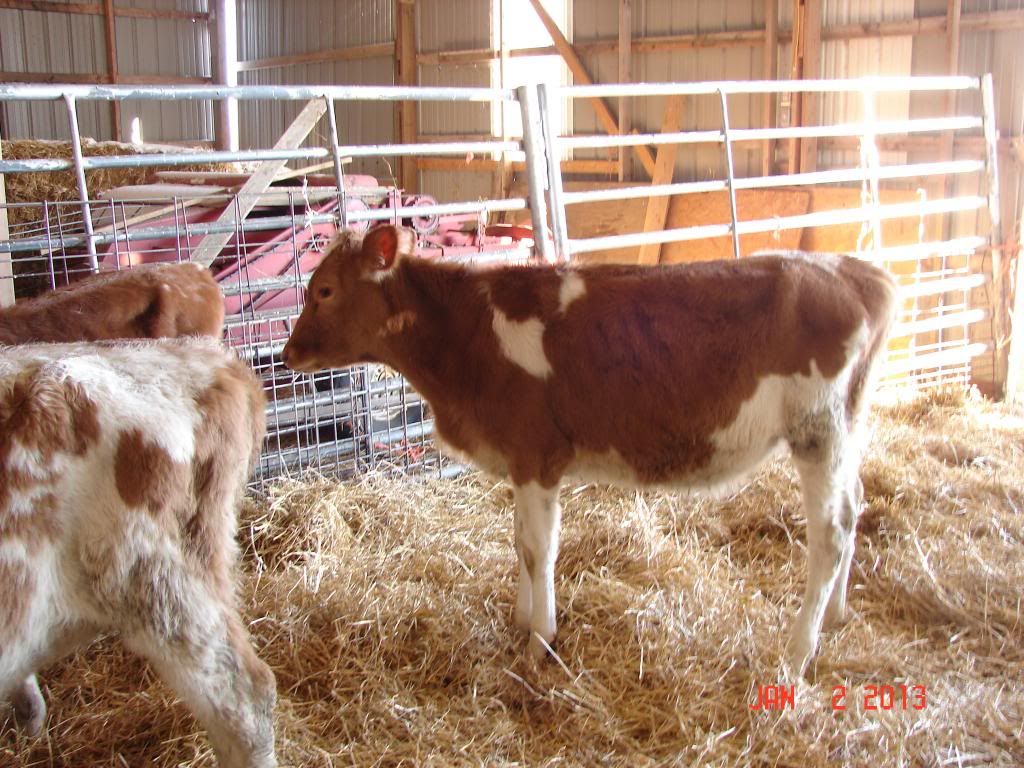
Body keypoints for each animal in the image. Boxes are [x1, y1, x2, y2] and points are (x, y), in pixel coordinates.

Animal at [281, 226, 898, 677]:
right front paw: (522, 621)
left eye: (325, 290)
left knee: (831, 534)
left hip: (818, 431)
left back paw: (797, 653)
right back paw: (837, 616)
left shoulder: (536, 456)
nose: (287, 354)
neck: (470, 332)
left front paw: (540, 642)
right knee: (855, 506)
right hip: (847, 429)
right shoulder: (521, 463)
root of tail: (855, 271)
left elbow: (538, 550)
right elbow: (519, 544)